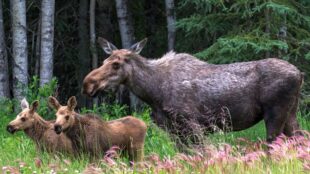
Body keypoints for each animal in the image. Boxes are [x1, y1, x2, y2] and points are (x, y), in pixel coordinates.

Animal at [82, 37, 302, 144]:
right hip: (291, 113)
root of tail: (300, 74)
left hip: (275, 113)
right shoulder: (173, 130)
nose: (88, 84)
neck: (152, 93)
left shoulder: (192, 124)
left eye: (116, 64)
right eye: (105, 60)